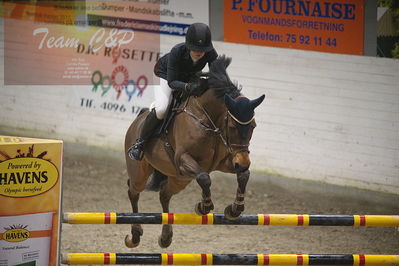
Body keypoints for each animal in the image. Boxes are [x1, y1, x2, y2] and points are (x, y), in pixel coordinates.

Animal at [125, 55, 266, 248]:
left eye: (253, 126)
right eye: (232, 126)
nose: (243, 161)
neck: (208, 120)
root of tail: (139, 118)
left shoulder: (224, 163)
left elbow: (244, 175)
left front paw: (234, 209)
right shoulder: (183, 159)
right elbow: (204, 178)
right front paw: (203, 206)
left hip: (179, 179)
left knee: (164, 194)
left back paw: (166, 237)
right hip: (142, 173)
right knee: (133, 191)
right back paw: (135, 235)